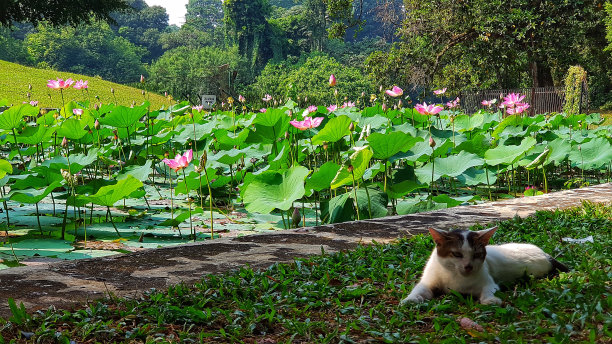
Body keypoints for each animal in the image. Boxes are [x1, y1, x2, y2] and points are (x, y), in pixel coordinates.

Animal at [402, 227, 568, 306]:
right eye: (457, 254)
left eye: (477, 254)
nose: (468, 266)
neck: (456, 277)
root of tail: (545, 254)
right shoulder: (429, 280)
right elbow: (420, 288)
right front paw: (410, 299)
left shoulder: (488, 281)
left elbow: (489, 289)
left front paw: (490, 299)